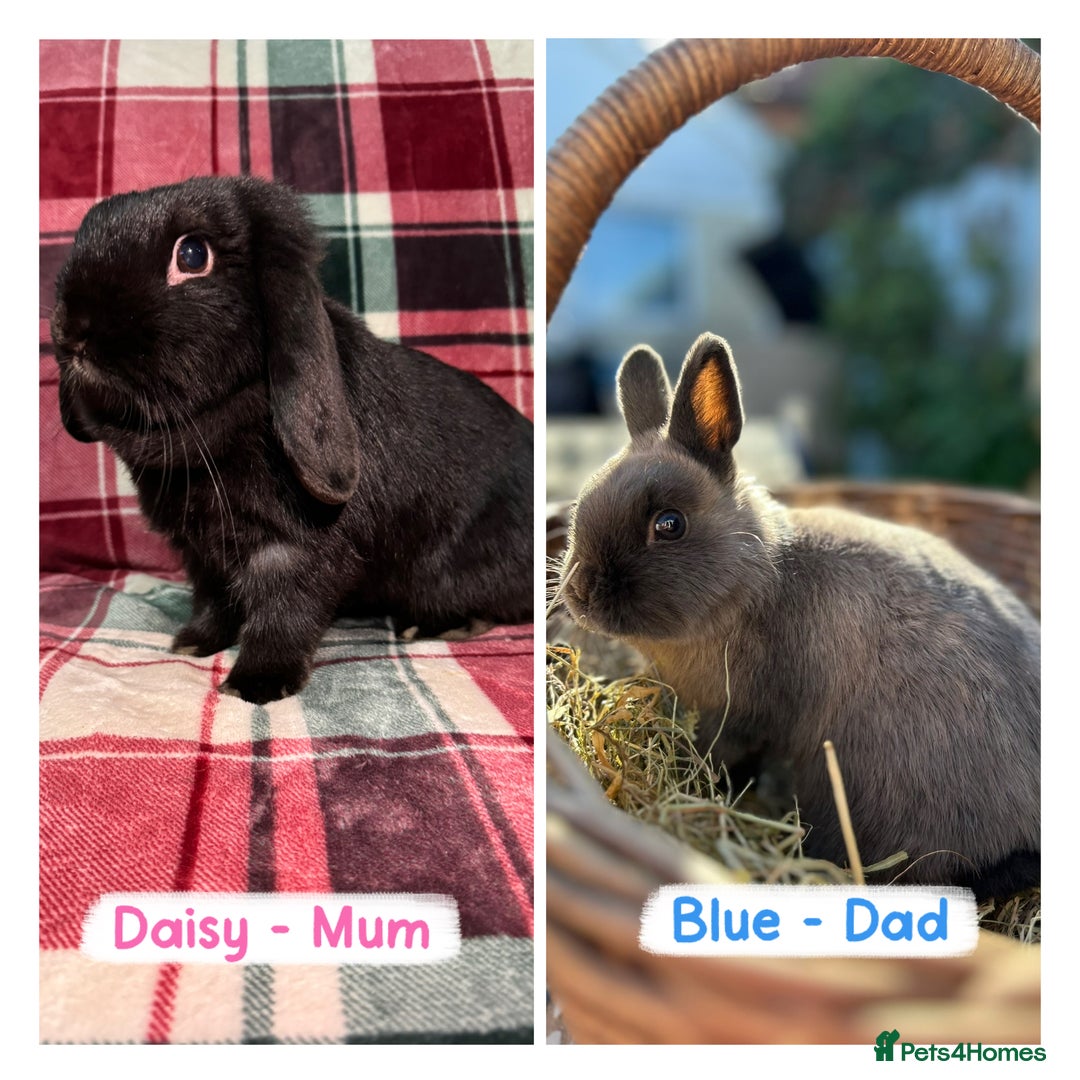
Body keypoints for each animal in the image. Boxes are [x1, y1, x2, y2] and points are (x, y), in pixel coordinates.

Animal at [49, 174, 533, 705]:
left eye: (192, 255)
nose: (74, 329)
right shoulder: (201, 553)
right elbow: (214, 601)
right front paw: (194, 642)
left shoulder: (294, 551)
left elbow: (284, 614)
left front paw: (256, 683)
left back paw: (439, 626)